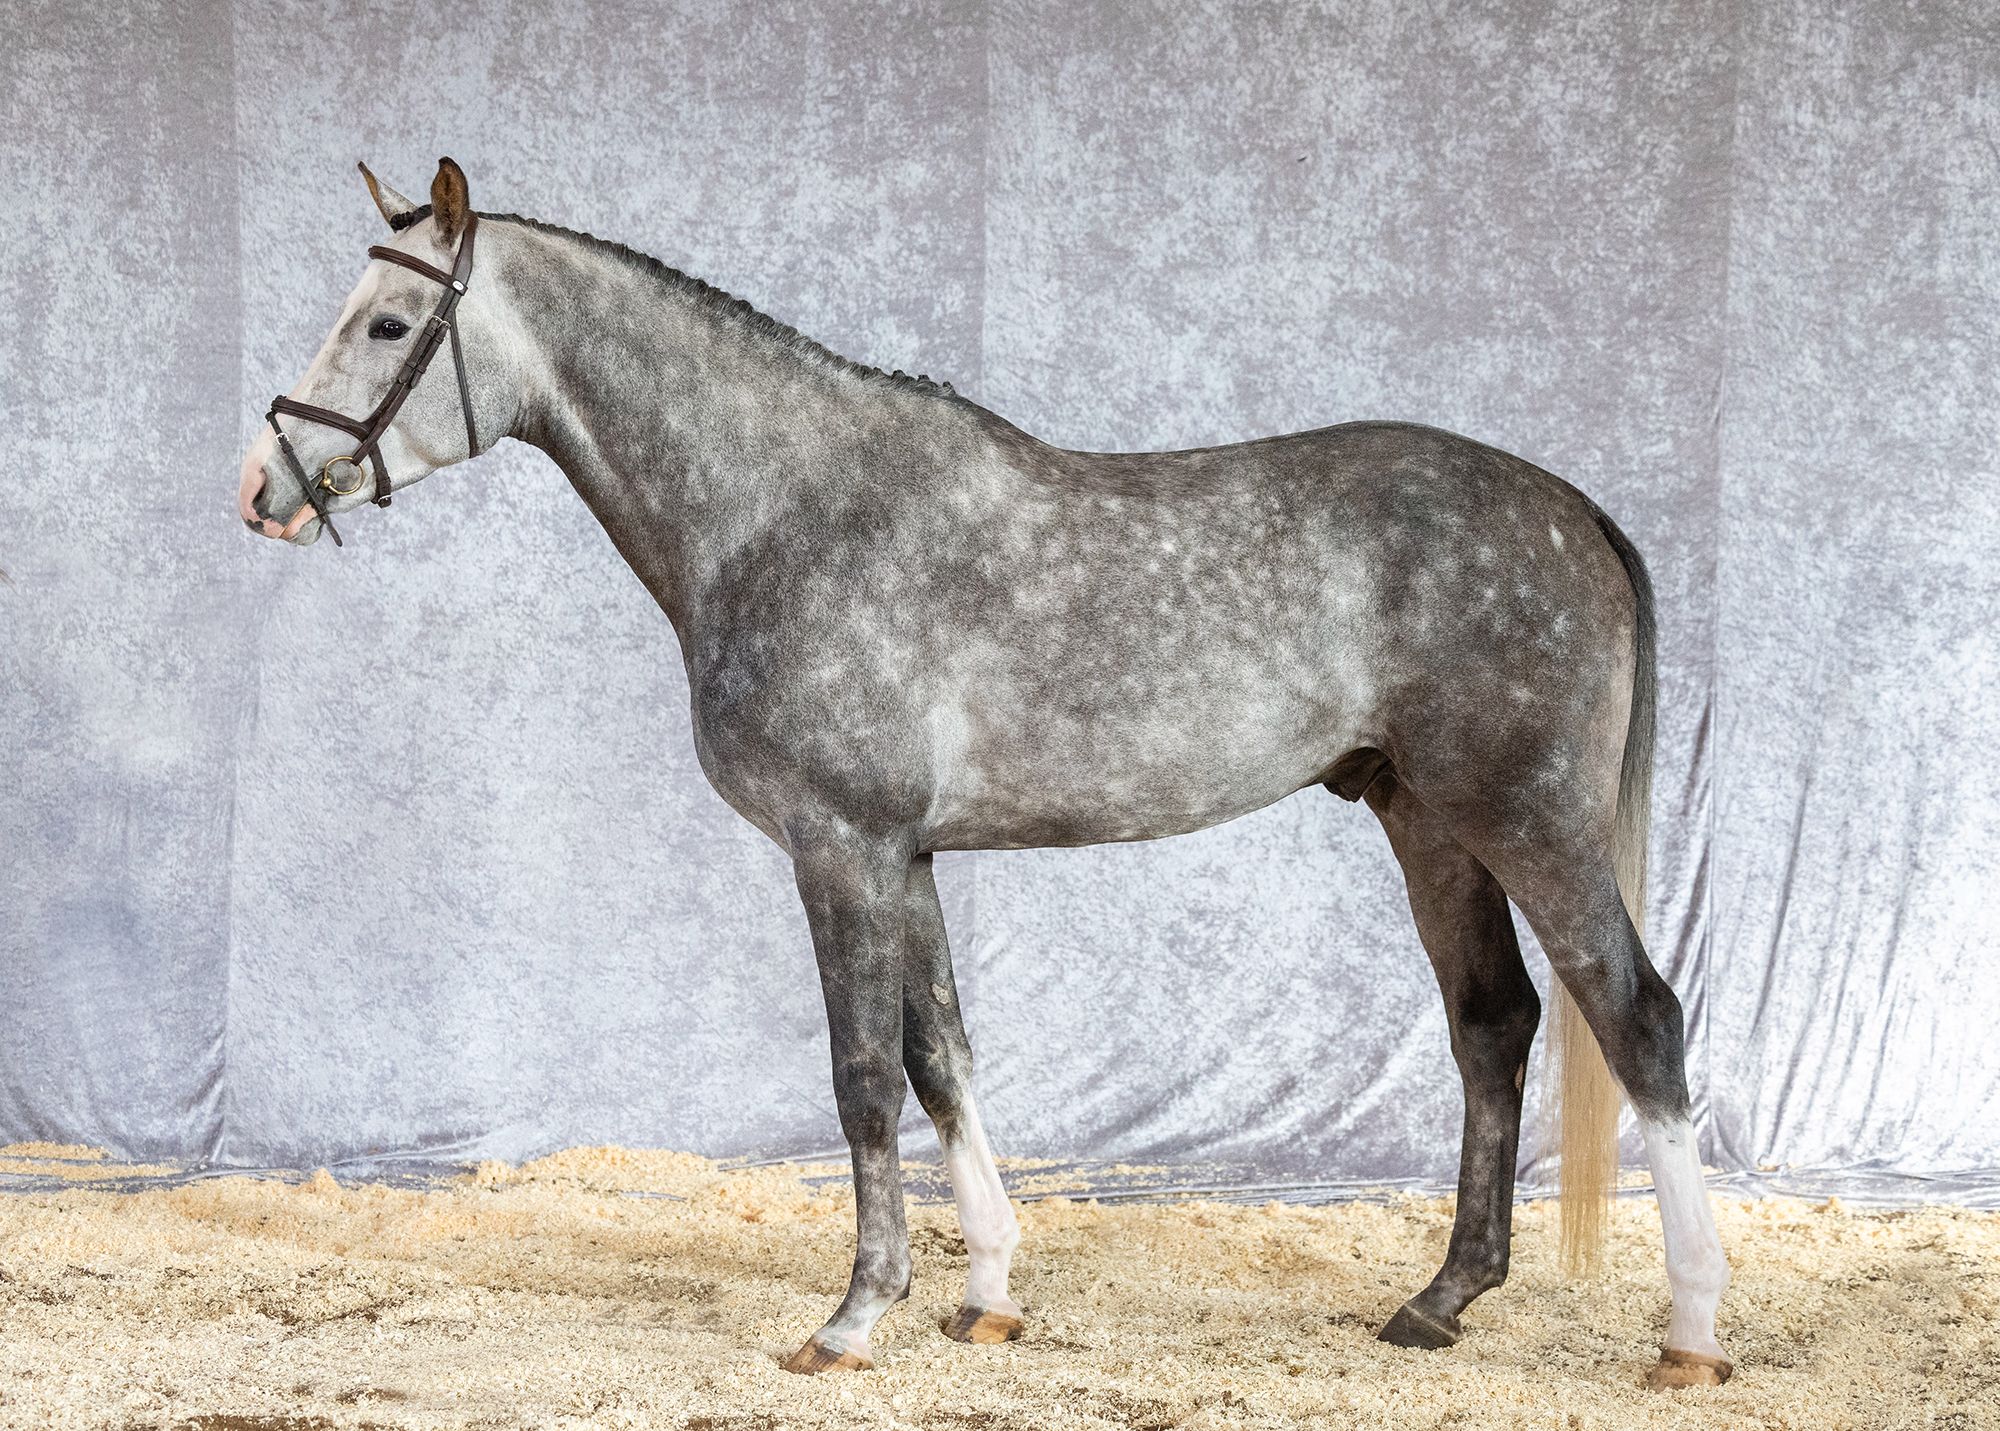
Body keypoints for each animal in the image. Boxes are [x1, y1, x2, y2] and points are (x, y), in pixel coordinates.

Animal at [237, 157, 1731, 1390]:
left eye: (387, 325)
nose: (264, 484)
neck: (786, 510)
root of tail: (1571, 509)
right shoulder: (906, 854)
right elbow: (941, 1055)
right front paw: (987, 1298)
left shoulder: (839, 843)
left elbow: (861, 1074)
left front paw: (851, 1318)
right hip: (1426, 818)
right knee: (1493, 1023)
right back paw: (1439, 1300)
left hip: (1528, 820)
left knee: (1637, 1018)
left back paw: (1690, 1330)